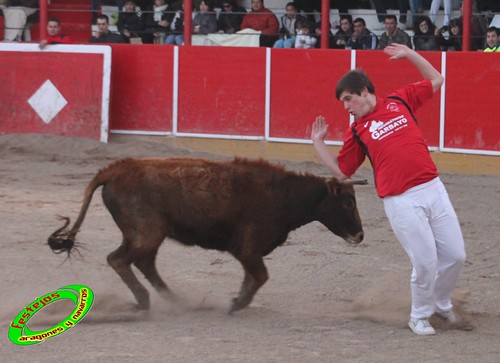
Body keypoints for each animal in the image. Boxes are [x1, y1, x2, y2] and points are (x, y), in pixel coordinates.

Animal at [48, 158, 366, 314]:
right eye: (348, 202)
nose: (360, 235)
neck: (282, 195)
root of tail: (113, 171)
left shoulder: (248, 253)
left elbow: (253, 278)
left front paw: (237, 300)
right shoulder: (247, 248)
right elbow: (260, 276)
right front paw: (236, 304)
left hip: (147, 235)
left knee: (143, 262)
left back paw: (174, 300)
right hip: (147, 232)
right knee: (119, 259)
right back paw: (145, 301)